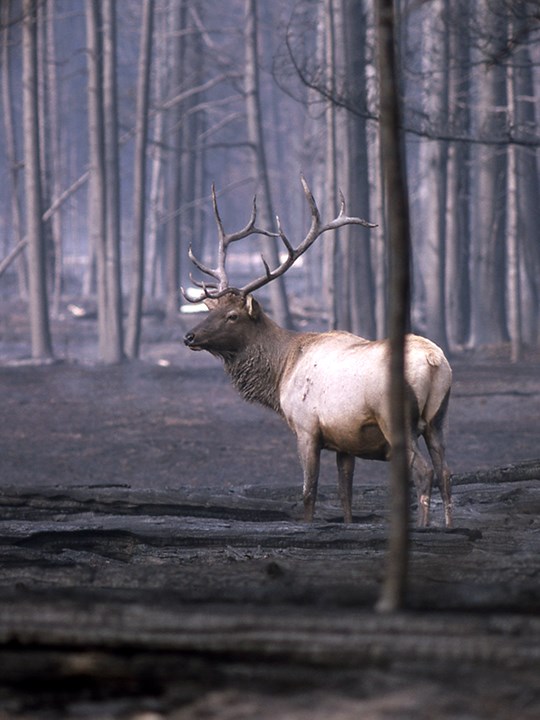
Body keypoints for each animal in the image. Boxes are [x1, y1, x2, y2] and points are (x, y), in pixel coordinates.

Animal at [184, 177, 454, 524]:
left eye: (232, 315)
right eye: (212, 309)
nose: (190, 336)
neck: (282, 372)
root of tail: (434, 361)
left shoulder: (306, 428)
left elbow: (308, 493)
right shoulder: (345, 441)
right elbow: (344, 496)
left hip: (396, 420)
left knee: (424, 473)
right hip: (438, 420)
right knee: (446, 473)